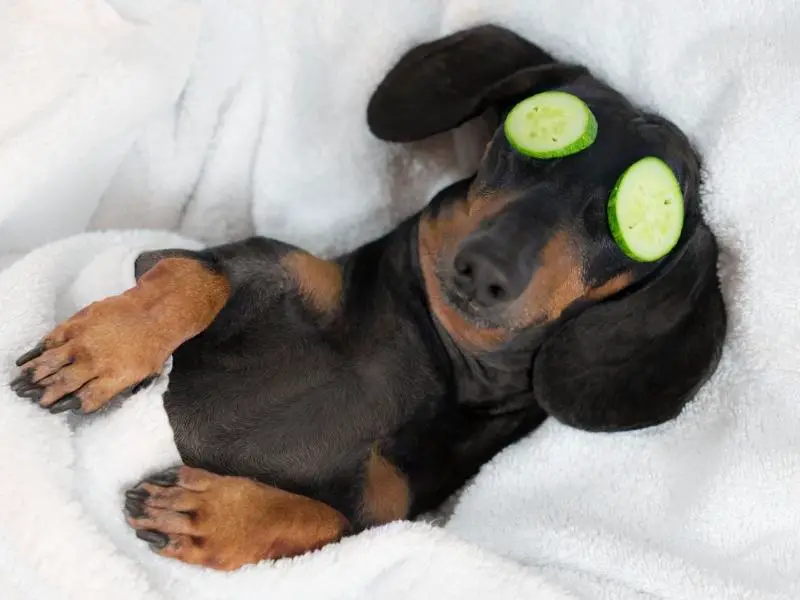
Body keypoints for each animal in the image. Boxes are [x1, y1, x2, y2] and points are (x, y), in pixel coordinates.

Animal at [10, 25, 724, 568]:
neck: (434, 354)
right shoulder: (233, 261)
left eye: (635, 220)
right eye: (531, 136)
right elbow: (195, 280)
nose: (484, 268)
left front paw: (211, 516)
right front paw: (97, 352)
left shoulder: (384, 516)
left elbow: (321, 520)